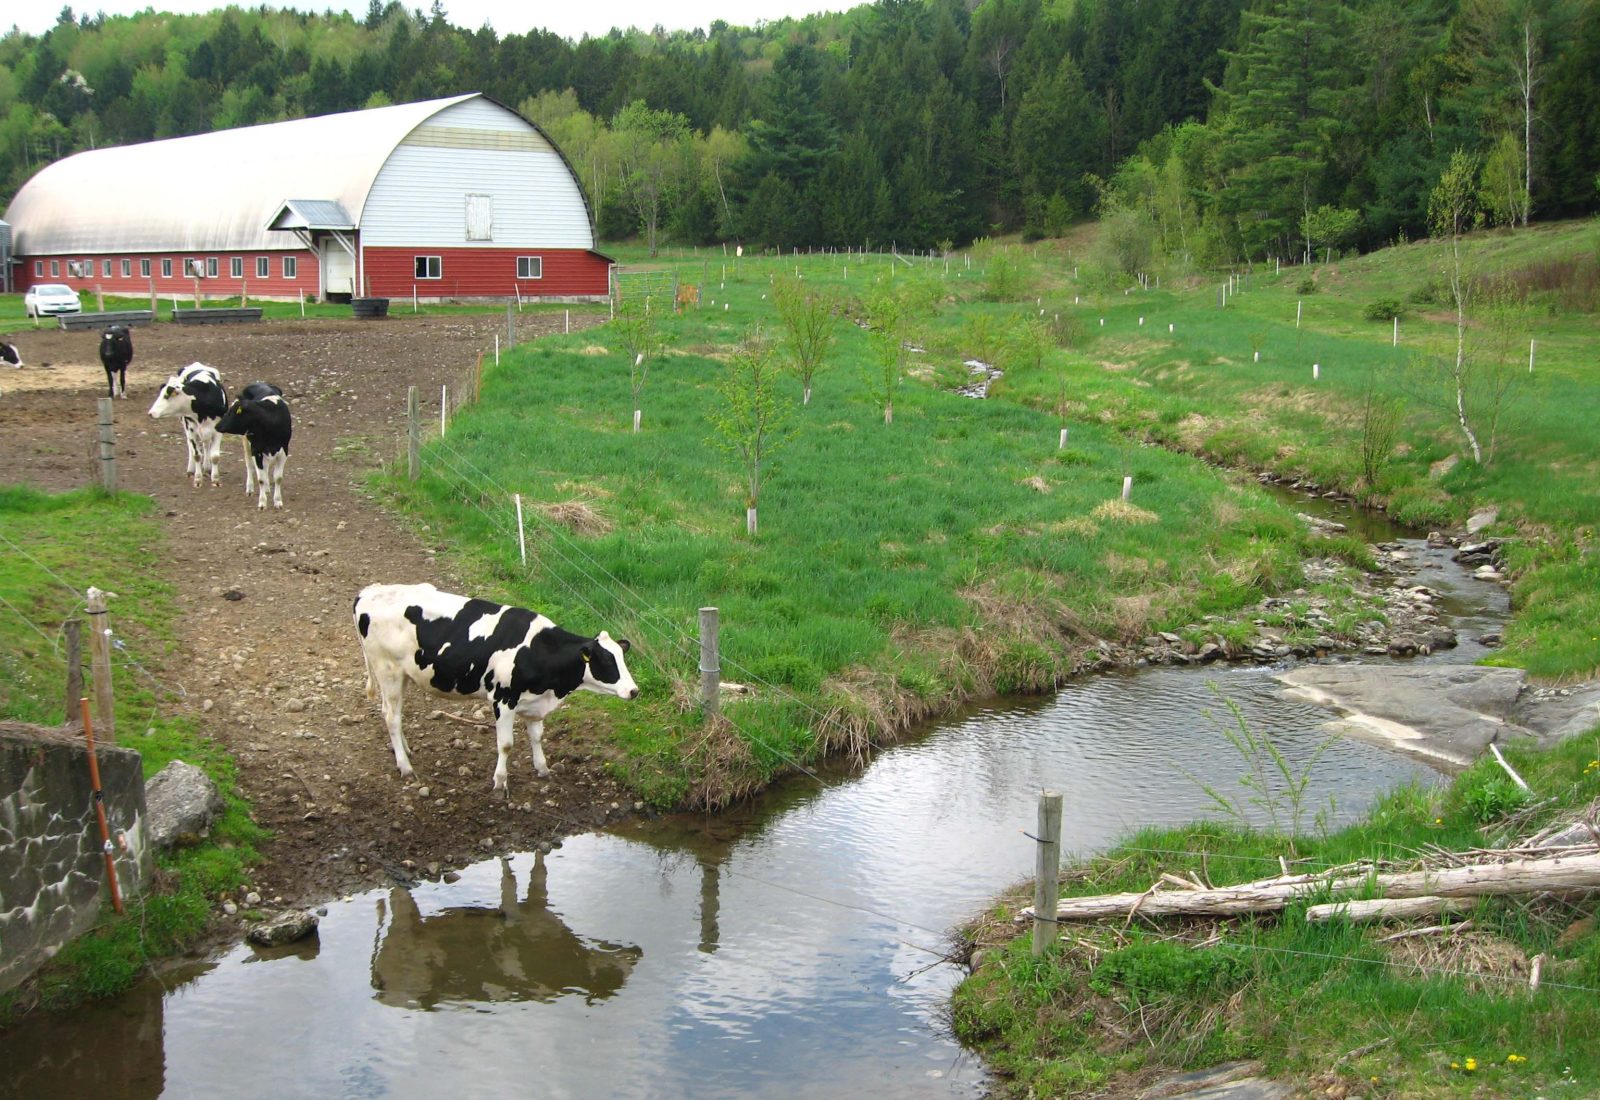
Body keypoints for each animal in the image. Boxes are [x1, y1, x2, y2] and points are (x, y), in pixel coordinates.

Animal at [353, 578, 640, 796]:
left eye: (622, 657)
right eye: (606, 660)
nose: (633, 690)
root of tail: (367, 592)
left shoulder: (534, 702)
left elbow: (537, 736)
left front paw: (543, 769)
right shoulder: (503, 699)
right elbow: (506, 745)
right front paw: (500, 782)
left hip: (401, 675)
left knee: (392, 713)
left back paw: (404, 750)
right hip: (387, 670)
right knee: (391, 717)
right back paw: (405, 766)